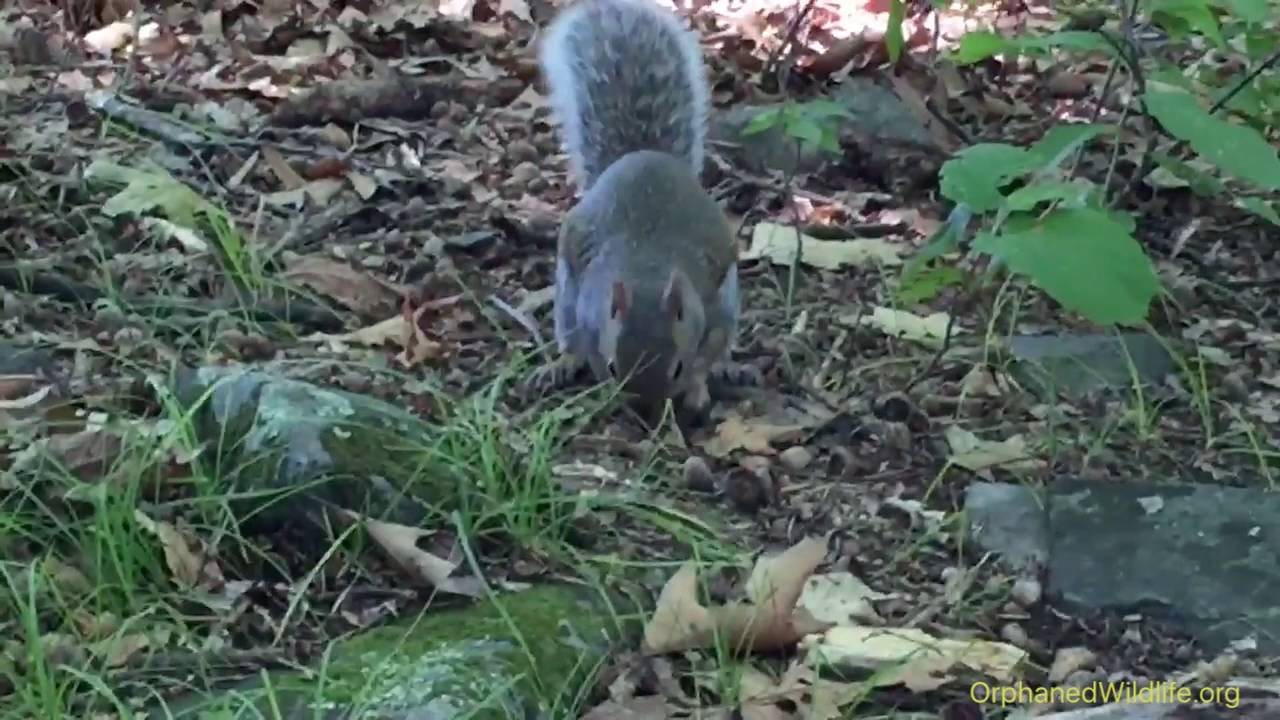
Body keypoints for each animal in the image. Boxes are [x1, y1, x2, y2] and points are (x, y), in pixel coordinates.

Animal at [526, 0, 759, 419]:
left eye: (677, 367)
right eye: (613, 367)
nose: (644, 410)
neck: (646, 272)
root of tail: (643, 155)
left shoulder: (713, 309)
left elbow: (707, 352)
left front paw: (697, 388)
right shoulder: (587, 314)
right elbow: (588, 347)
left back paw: (730, 368)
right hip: (566, 296)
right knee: (567, 336)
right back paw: (560, 365)